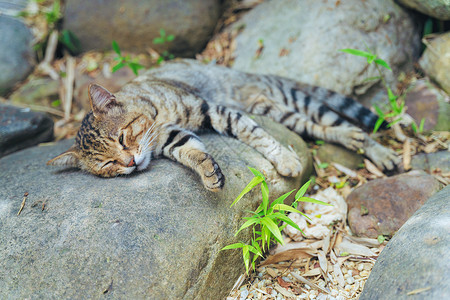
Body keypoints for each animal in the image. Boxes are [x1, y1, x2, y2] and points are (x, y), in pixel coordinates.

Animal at [48, 59, 400, 191]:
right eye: (107, 165)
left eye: (122, 138)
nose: (130, 163)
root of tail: (247, 72)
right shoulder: (172, 137)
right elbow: (192, 151)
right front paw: (208, 171)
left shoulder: (210, 110)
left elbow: (253, 133)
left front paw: (284, 158)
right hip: (274, 109)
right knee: (320, 128)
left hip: (283, 102)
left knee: (334, 125)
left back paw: (381, 153)